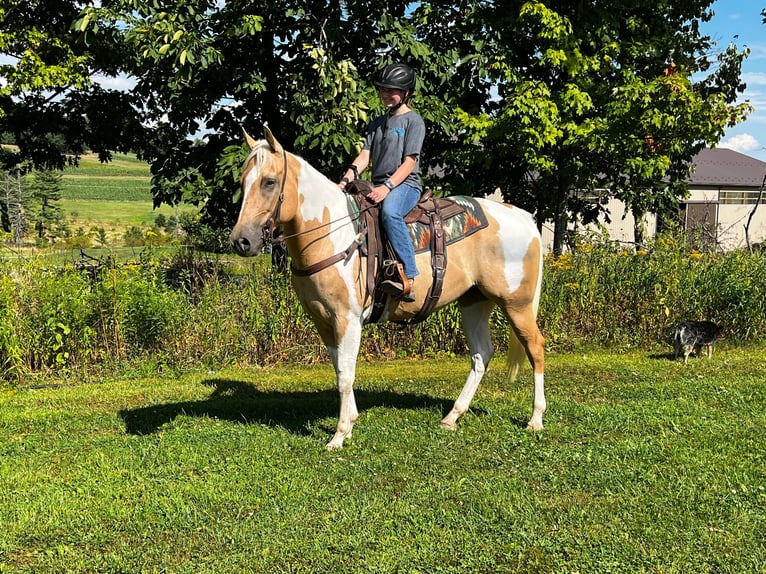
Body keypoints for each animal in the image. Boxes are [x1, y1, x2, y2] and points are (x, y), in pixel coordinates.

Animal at [228, 128, 544, 452]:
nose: (241, 241)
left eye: (269, 181)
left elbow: (346, 375)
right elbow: (340, 368)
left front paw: (339, 434)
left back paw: (535, 419)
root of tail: (521, 217)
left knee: (535, 348)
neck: (333, 235)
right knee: (481, 354)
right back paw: (452, 417)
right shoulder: (323, 321)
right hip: (475, 302)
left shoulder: (349, 319)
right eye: (242, 182)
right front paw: (351, 421)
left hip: (516, 304)